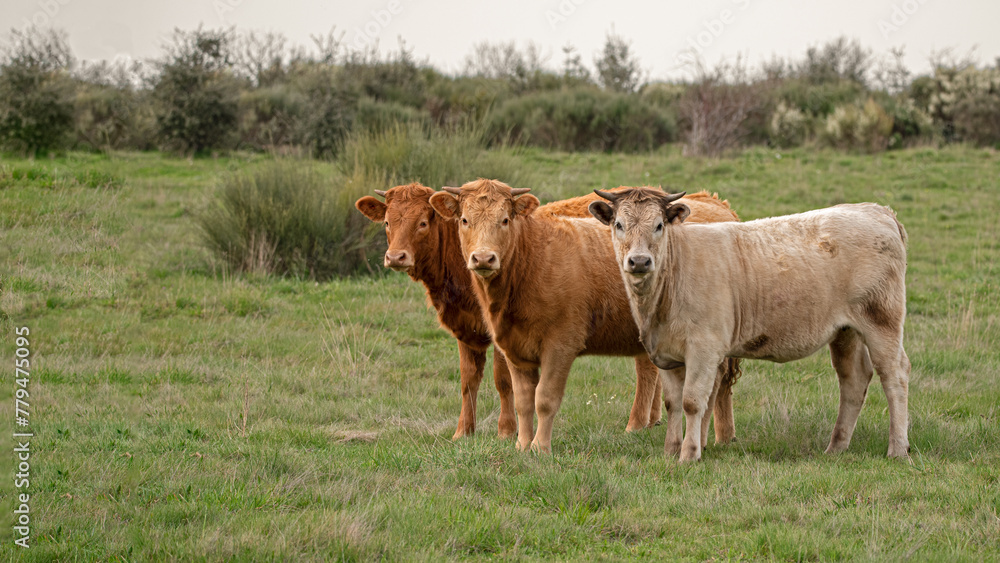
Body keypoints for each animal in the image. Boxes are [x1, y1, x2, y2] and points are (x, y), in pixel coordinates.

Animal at [356, 183, 677, 440]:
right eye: (387, 222)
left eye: (422, 223)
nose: (396, 257)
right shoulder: (467, 331)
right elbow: (468, 380)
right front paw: (463, 431)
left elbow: (503, 381)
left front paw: (506, 431)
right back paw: (651, 420)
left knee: (646, 369)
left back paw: (636, 424)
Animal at [428, 179, 741, 453]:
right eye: (464, 220)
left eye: (504, 220)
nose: (483, 258)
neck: (531, 261)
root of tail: (719, 207)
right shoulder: (515, 350)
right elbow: (523, 401)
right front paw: (521, 446)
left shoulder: (560, 346)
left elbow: (545, 399)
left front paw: (540, 448)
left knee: (715, 385)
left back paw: (715, 437)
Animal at [588, 188, 910, 462]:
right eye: (619, 224)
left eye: (658, 226)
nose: (639, 261)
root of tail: (875, 209)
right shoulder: (665, 353)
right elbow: (673, 403)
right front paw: (670, 451)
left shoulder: (704, 348)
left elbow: (693, 401)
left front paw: (689, 455)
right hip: (845, 331)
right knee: (853, 379)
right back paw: (836, 447)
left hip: (882, 320)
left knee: (894, 375)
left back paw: (897, 449)